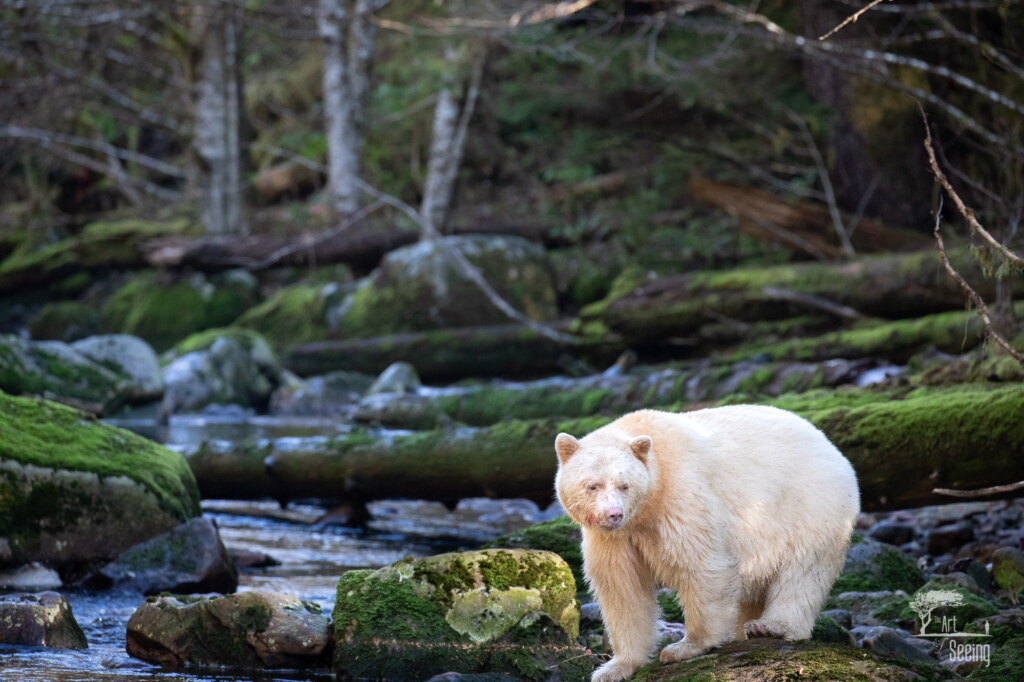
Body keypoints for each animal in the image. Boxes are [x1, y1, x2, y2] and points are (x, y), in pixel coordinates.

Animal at [554, 406, 860, 682]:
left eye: (624, 485)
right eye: (592, 485)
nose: (613, 514)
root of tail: (832, 447)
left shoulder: (682, 498)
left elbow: (702, 566)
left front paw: (685, 647)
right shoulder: (615, 538)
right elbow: (623, 587)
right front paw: (614, 668)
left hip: (807, 506)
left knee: (802, 572)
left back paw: (771, 626)